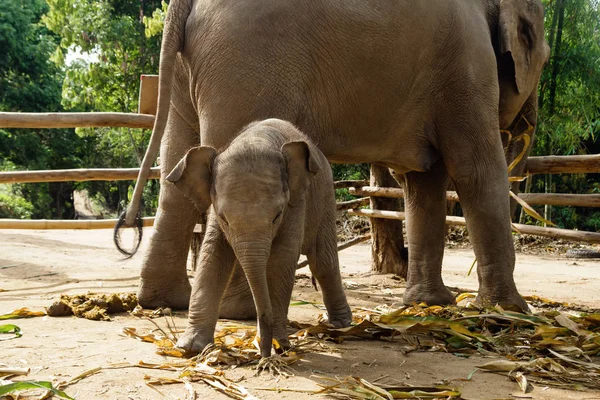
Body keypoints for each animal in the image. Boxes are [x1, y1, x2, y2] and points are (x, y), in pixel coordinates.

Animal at [120, 0, 548, 312]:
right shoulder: (469, 63)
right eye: (544, 56)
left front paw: (431, 304)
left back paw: (167, 302)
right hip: (246, 64)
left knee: (176, 169)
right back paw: (240, 312)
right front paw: (512, 312)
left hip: (190, 71)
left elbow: (422, 184)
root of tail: (183, 3)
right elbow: (475, 169)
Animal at [165, 118, 352, 356]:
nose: (263, 352)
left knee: (323, 263)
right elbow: (212, 255)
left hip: (326, 197)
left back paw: (340, 324)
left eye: (277, 215)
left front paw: (280, 345)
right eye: (224, 218)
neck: (257, 139)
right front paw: (190, 348)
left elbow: (282, 258)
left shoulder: (297, 202)